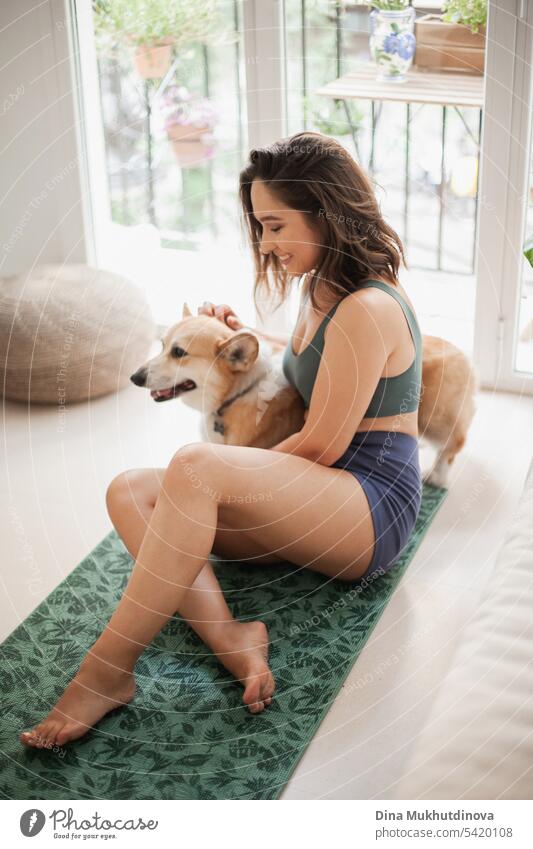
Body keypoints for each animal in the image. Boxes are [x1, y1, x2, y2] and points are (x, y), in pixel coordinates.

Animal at [131, 304, 476, 486]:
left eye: (179, 353)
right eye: (162, 345)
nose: (135, 377)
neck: (236, 394)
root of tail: (467, 357)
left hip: (432, 418)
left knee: (455, 441)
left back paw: (436, 475)